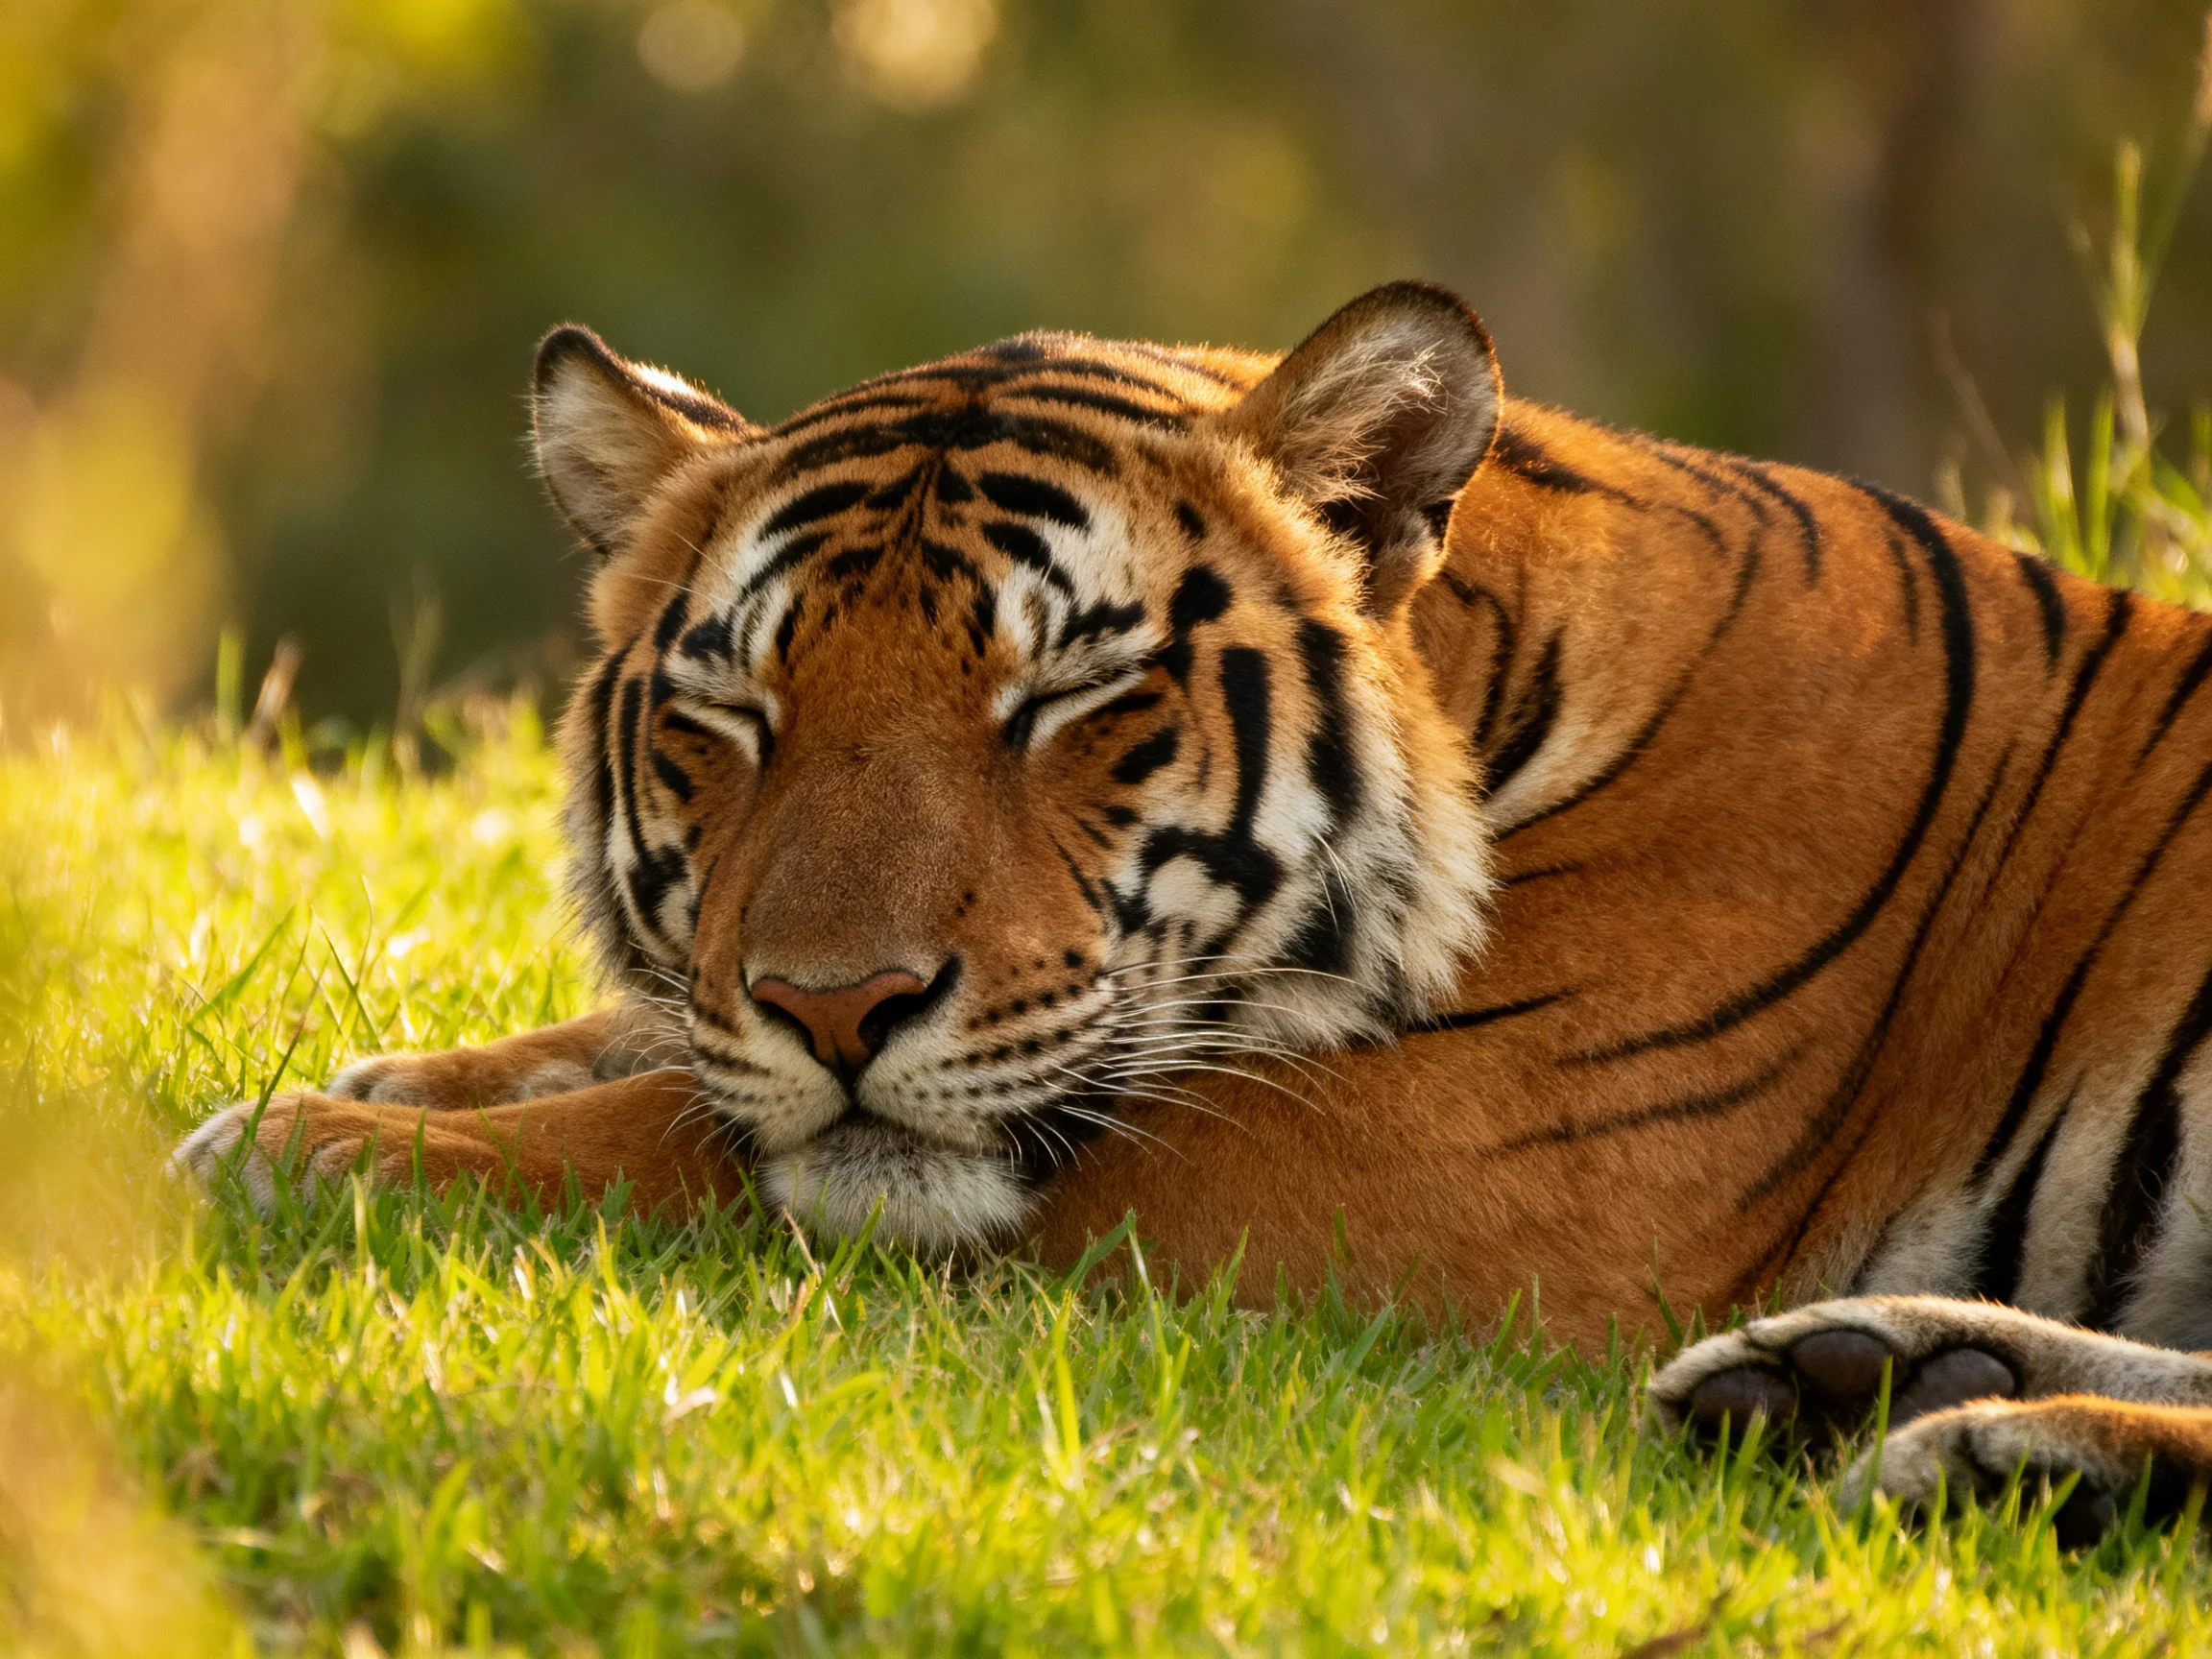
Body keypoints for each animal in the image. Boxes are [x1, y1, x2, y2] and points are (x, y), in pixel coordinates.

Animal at [177, 280, 2212, 1539]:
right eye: (733, 714)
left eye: (1071, 697)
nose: (835, 1007)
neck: (1507, 700)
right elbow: (660, 1053)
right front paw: (373, 1083)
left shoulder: (1407, 1164)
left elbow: (687, 1146)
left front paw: (315, 1153)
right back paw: (1877, 1383)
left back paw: (1974, 1442)